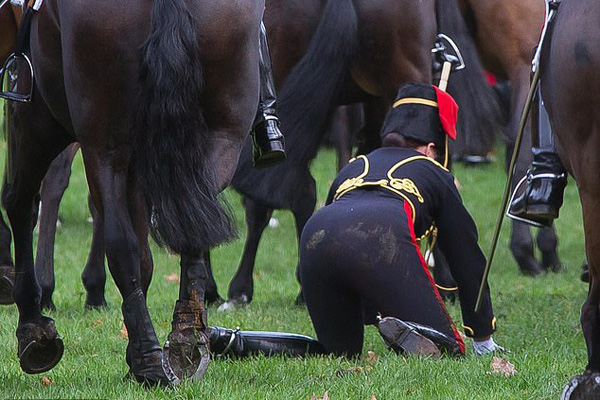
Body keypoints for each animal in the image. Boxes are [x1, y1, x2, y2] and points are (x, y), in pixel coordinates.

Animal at [4, 0, 262, 386]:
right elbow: (146, 257)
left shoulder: (35, 111)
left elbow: (22, 205)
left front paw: (35, 329)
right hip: (222, 137)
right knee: (188, 236)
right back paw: (185, 338)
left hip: (83, 139)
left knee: (55, 217)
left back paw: (144, 360)